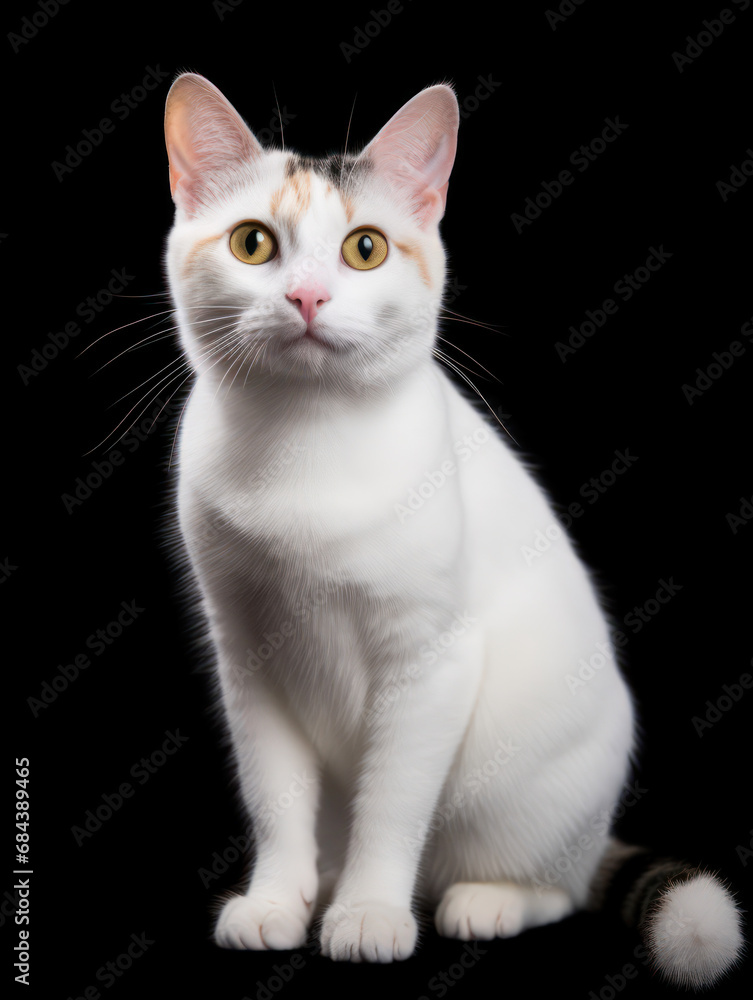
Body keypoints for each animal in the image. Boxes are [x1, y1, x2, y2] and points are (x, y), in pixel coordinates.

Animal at [162, 74, 744, 988]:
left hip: (518, 794)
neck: (304, 446)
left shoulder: (429, 658)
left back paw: (484, 900)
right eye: (253, 245)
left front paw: (368, 912)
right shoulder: (246, 656)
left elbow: (392, 805)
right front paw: (276, 901)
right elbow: (275, 798)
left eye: (364, 249)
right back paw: (324, 881)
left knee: (555, 886)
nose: (306, 297)